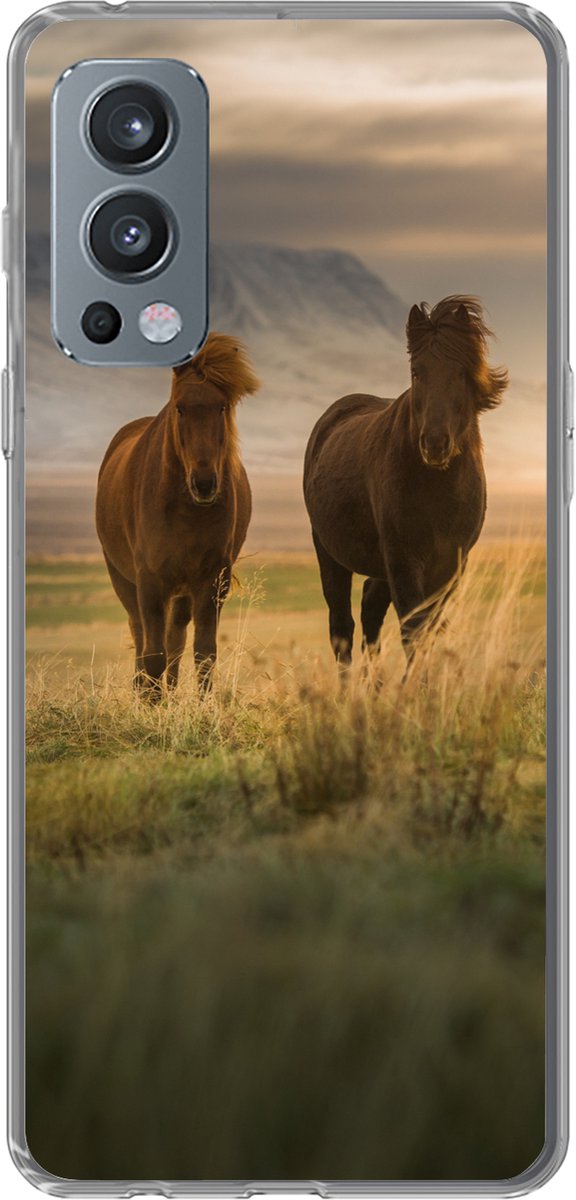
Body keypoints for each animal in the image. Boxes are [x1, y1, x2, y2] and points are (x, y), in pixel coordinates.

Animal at [96, 333, 260, 697]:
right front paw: (150, 706)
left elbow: (203, 654)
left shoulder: (211, 580)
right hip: (124, 580)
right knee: (142, 637)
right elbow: (152, 655)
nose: (205, 483)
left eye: (222, 406)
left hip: (182, 591)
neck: (186, 511)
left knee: (176, 641)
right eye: (179, 407)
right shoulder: (149, 581)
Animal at [303, 295, 508, 673]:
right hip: (329, 554)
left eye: (461, 372)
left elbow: (428, 631)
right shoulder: (404, 561)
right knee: (342, 627)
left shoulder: (451, 567)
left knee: (370, 611)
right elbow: (414, 631)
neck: (438, 489)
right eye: (417, 372)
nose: (435, 443)